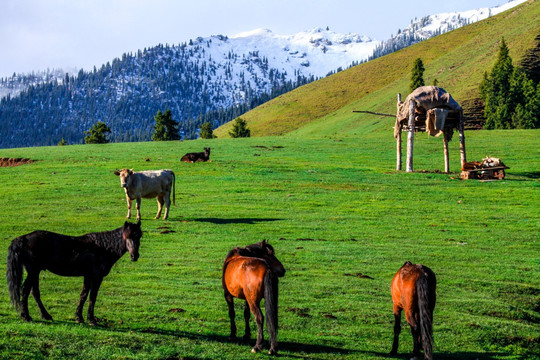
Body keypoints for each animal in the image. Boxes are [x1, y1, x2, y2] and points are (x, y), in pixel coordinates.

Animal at [6, 221, 141, 324]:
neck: (103, 248)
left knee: (34, 292)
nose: (134, 256)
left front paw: (79, 317)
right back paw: (26, 316)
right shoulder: (96, 277)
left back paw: (46, 315)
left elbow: (83, 295)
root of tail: (23, 238)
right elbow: (92, 297)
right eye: (127, 236)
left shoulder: (88, 276)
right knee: (25, 290)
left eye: (139, 236)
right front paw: (91, 319)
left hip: (35, 272)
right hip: (33, 271)